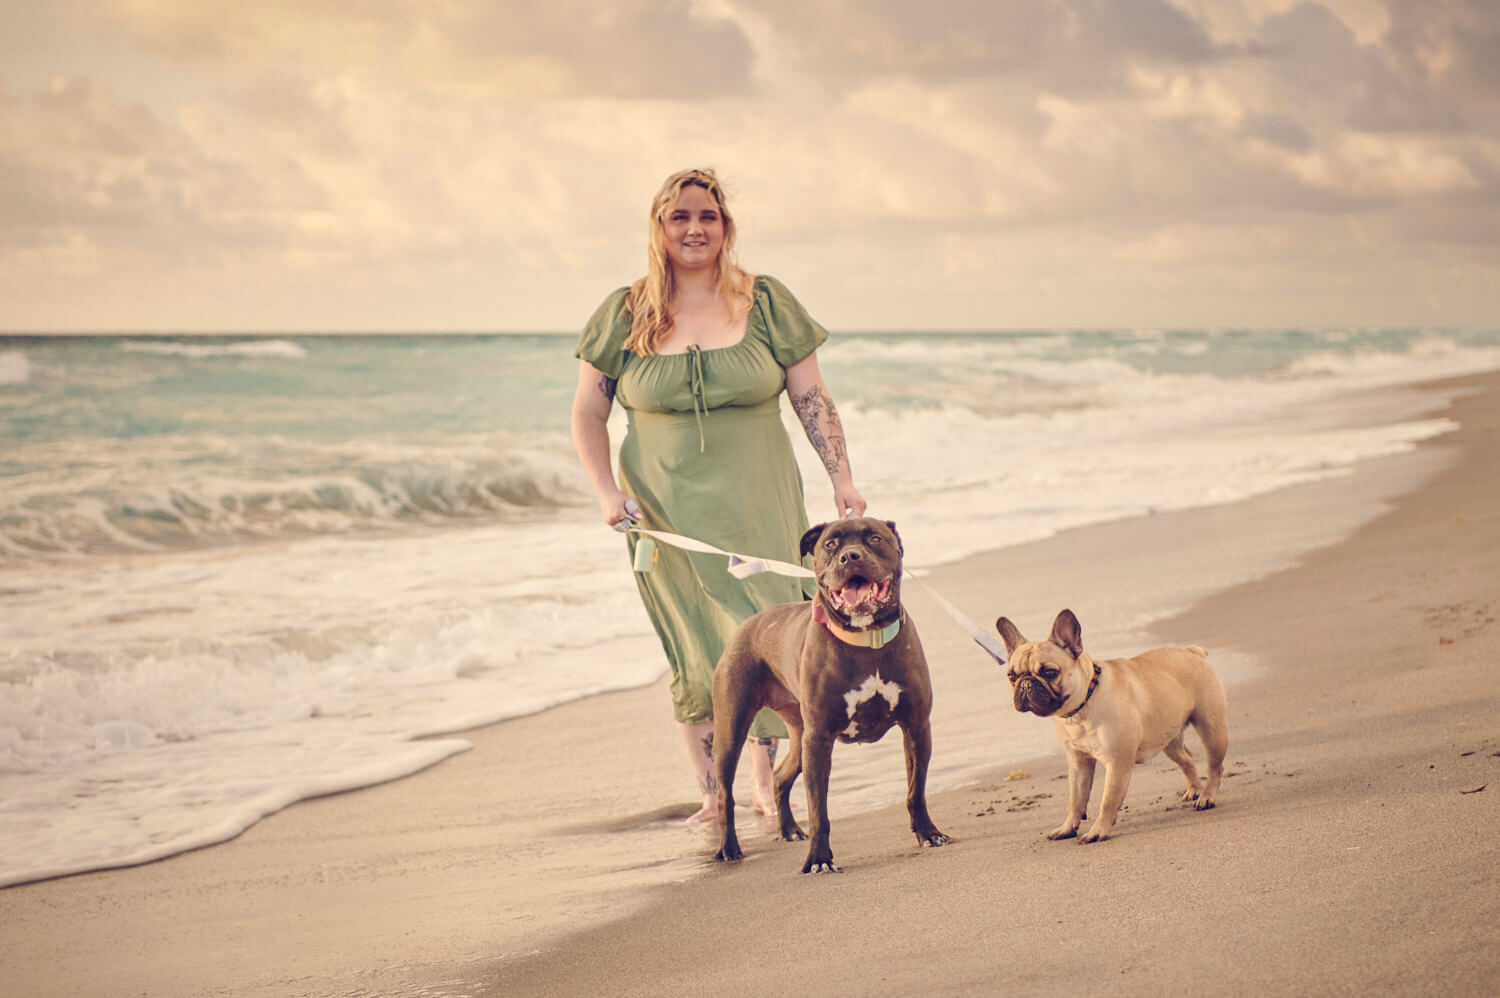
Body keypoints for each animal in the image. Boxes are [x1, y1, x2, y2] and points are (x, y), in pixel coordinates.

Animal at [705, 516, 942, 870]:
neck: (866, 637)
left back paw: (788, 829)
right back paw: (729, 848)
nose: (850, 556)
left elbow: (916, 791)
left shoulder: (916, 726)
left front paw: (928, 833)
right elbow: (819, 810)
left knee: (780, 777)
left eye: (874, 538)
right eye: (831, 544)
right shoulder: (818, 740)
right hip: (732, 731)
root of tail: (748, 624)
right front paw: (819, 859)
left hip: (798, 734)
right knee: (725, 795)